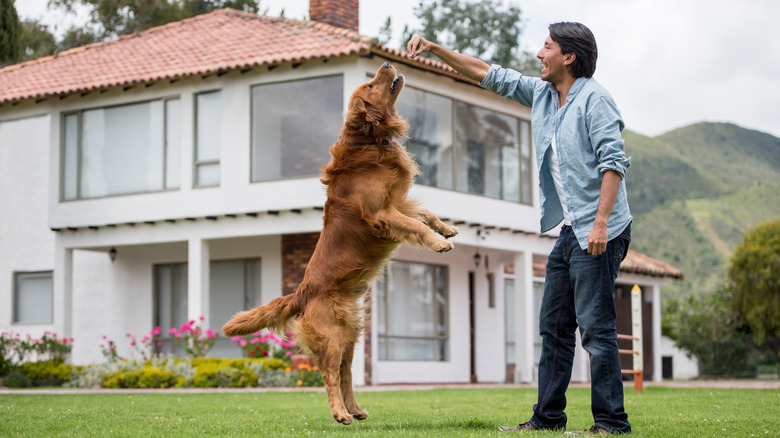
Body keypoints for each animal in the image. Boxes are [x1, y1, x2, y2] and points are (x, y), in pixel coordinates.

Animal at [221, 63, 458, 422]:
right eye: (371, 85)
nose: (386, 64)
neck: (368, 141)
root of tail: (301, 293)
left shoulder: (398, 204)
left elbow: (424, 214)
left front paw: (446, 229)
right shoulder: (383, 214)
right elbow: (415, 224)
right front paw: (438, 243)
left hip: (350, 336)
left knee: (346, 374)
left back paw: (356, 410)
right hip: (332, 338)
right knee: (329, 374)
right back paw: (340, 413)